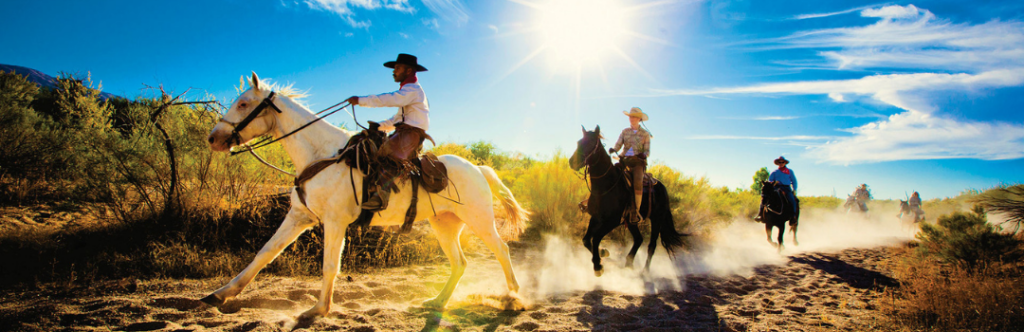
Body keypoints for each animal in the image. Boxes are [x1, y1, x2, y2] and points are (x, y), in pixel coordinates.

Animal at [204, 73, 532, 317]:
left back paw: (513, 298)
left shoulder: (335, 221)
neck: (322, 156)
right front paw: (220, 294)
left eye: (244, 103)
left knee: (501, 250)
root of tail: (478, 168)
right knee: (460, 263)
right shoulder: (300, 217)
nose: (213, 138)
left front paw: (318, 310)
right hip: (445, 224)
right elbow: (264, 253)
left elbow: (329, 265)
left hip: (480, 220)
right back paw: (437, 302)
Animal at [565, 126, 684, 276]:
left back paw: (645, 271)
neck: (606, 186)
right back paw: (629, 262)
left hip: (657, 219)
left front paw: (598, 266)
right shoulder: (596, 217)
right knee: (639, 239)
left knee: (651, 245)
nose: (572, 162)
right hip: (632, 221)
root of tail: (663, 187)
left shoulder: (613, 220)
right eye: (579, 142)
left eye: (591, 143)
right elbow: (586, 239)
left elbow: (596, 237)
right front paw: (602, 253)